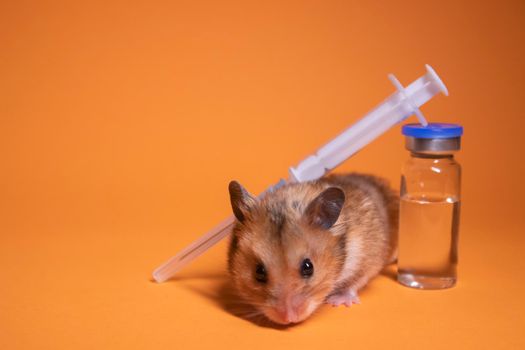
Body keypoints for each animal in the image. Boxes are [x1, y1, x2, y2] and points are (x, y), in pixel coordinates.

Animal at [225, 172, 398, 326]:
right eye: (258, 272)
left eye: (308, 267)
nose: (288, 319)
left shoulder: (369, 257)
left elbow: (355, 282)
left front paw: (336, 301)